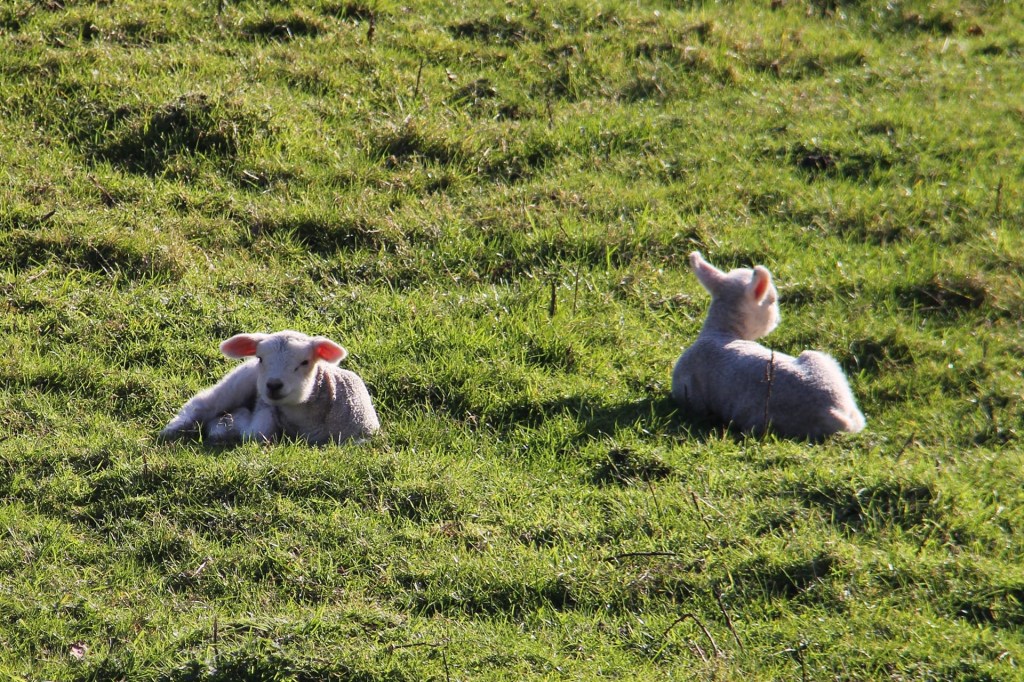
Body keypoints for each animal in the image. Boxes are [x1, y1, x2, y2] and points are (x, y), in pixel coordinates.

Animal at [160, 330, 380, 445]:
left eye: (305, 362)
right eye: (260, 358)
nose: (273, 384)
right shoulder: (265, 409)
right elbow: (255, 433)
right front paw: (228, 424)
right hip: (237, 383)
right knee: (204, 404)